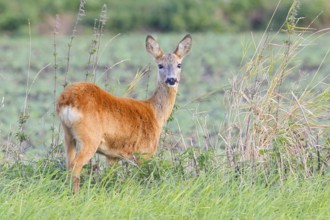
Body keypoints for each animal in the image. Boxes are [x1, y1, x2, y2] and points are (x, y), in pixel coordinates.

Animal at [55, 33, 192, 192]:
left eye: (179, 64)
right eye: (160, 65)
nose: (171, 80)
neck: (155, 114)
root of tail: (67, 100)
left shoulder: (112, 155)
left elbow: (110, 178)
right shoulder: (144, 152)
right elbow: (143, 178)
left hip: (68, 135)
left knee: (68, 165)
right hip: (89, 138)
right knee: (75, 167)